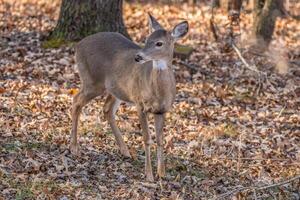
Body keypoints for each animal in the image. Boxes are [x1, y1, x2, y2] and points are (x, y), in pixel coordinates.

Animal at [70, 13, 188, 180]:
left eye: (159, 43)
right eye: (146, 39)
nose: (138, 56)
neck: (158, 92)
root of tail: (78, 45)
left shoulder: (162, 110)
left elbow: (160, 139)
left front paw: (162, 173)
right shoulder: (140, 104)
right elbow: (147, 138)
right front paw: (149, 175)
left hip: (117, 89)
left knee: (107, 109)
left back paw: (125, 151)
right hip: (92, 81)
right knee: (76, 101)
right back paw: (74, 147)